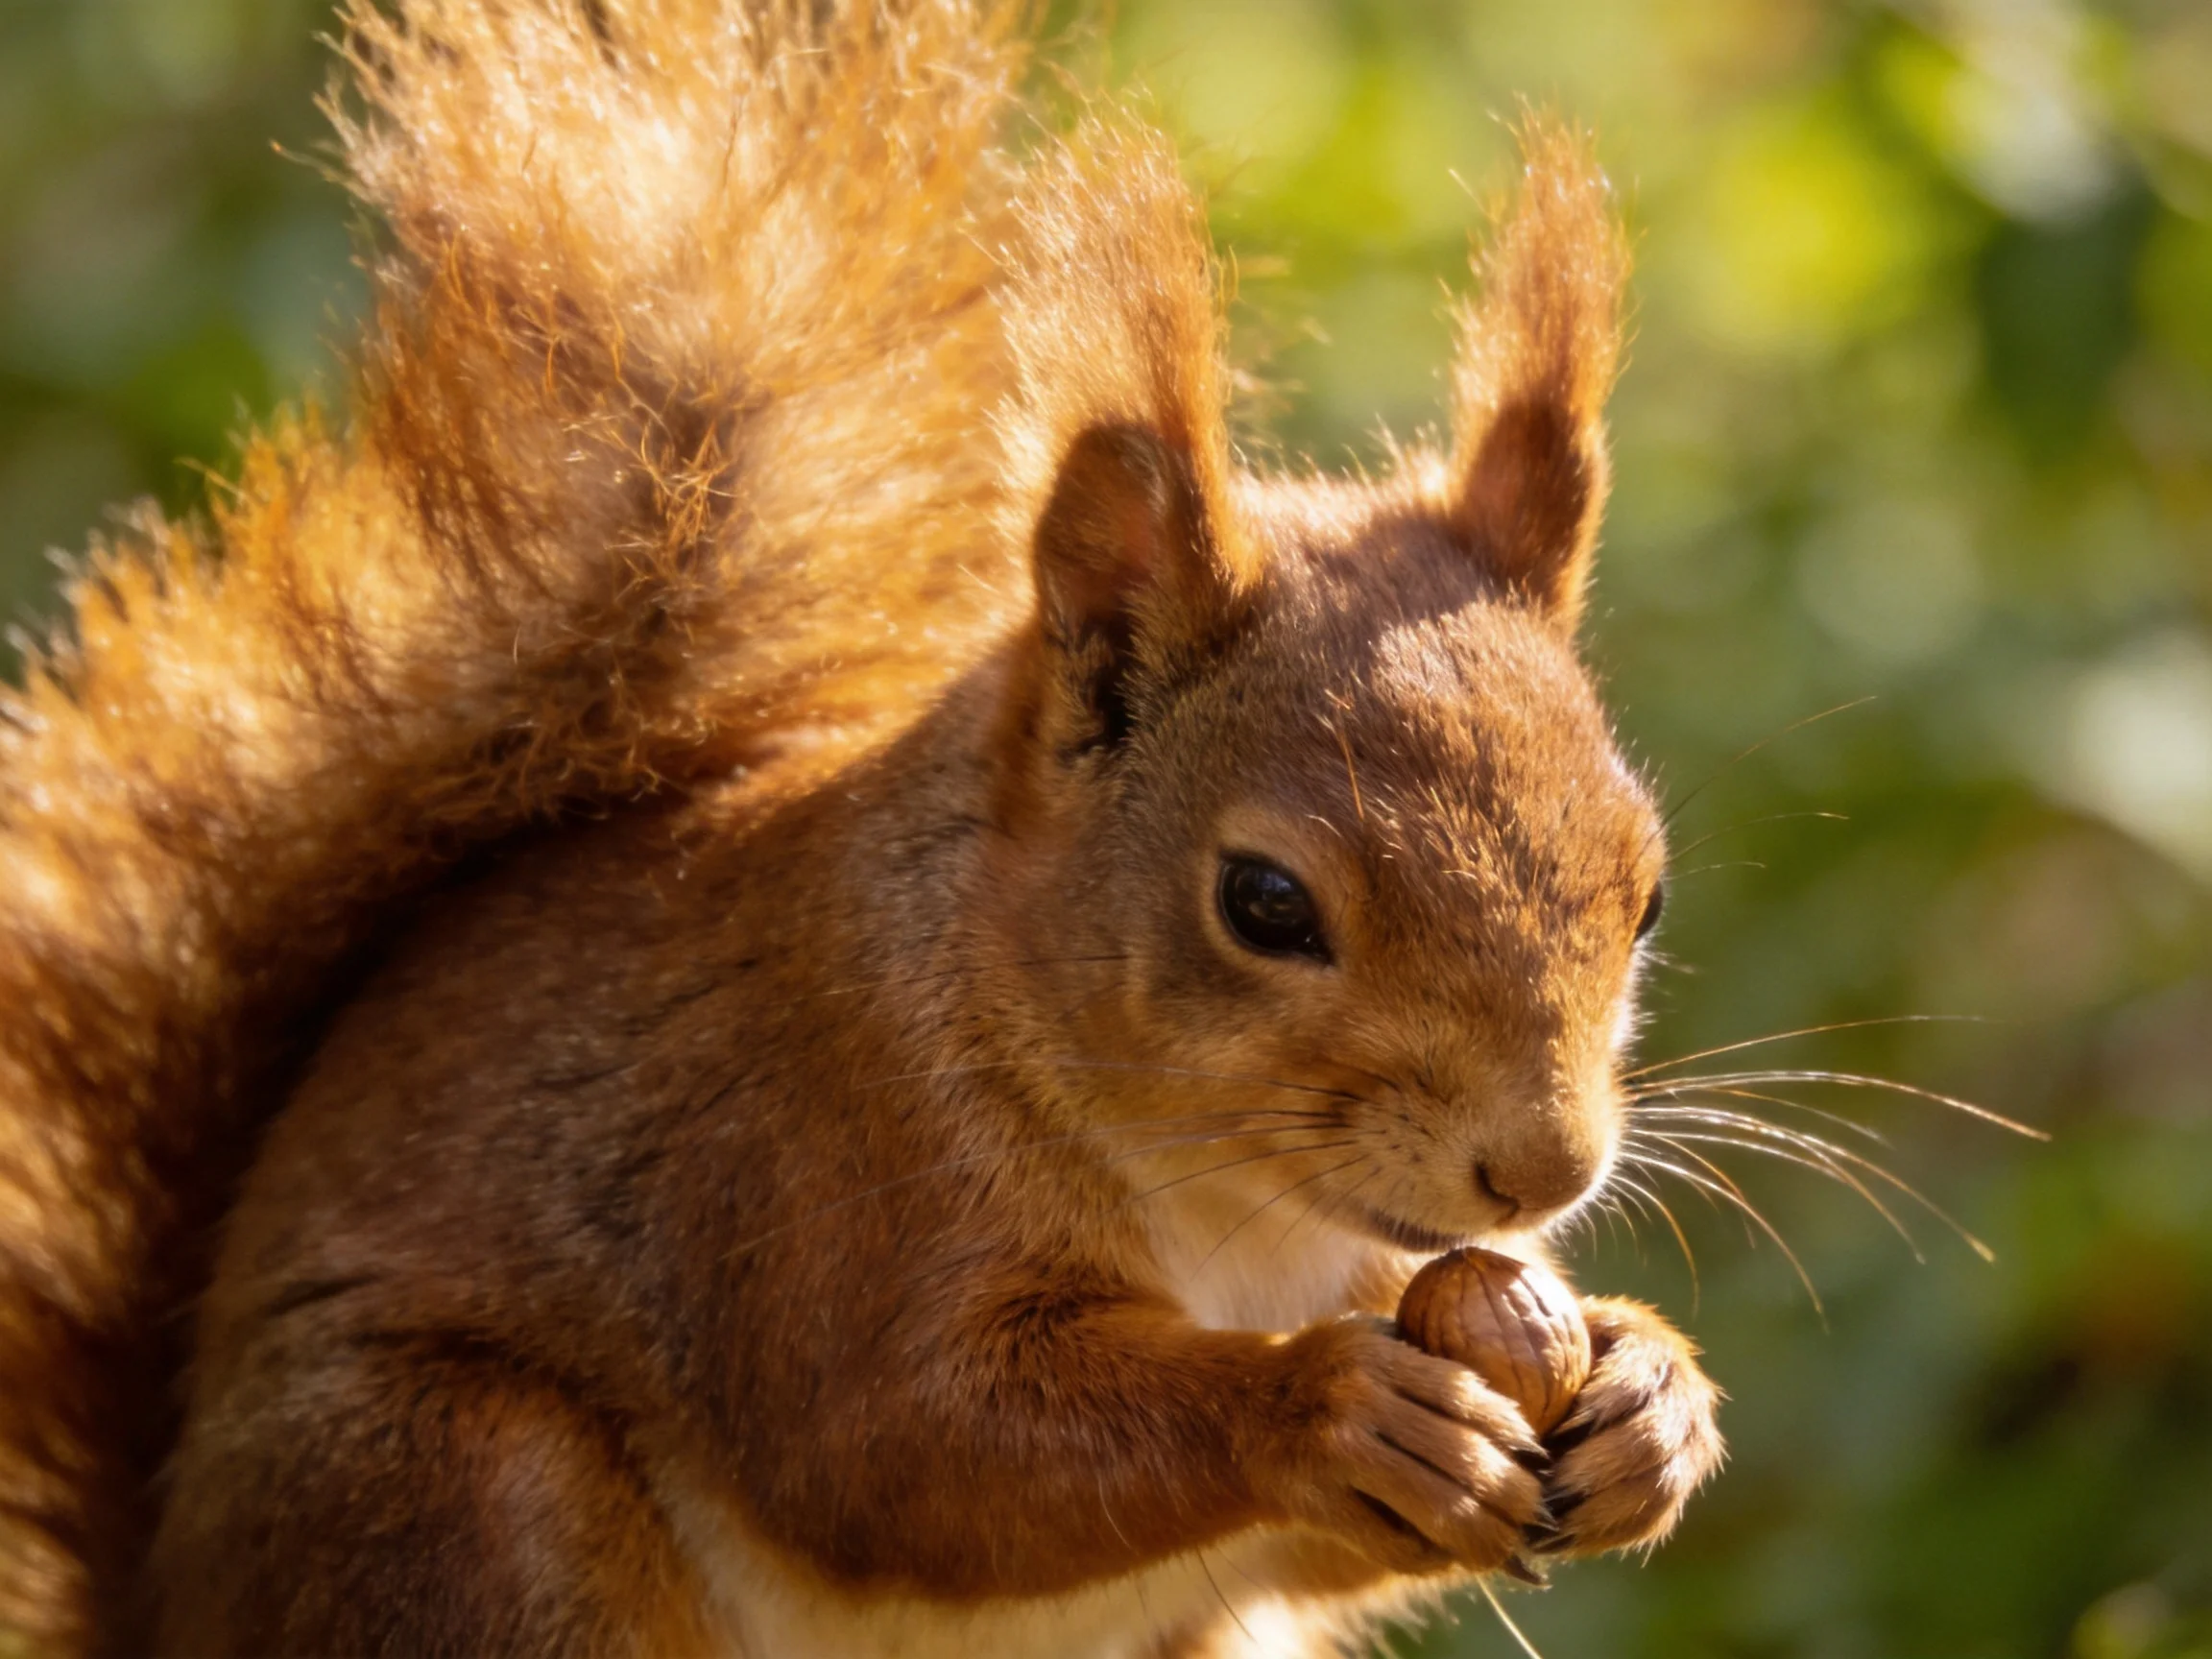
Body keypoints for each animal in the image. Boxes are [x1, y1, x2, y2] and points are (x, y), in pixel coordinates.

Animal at [0, 2, 1725, 1654]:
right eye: (1264, 903)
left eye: (1645, 896)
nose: (1543, 1166)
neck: (1238, 1212)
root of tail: (171, 1595)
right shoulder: (814, 1156)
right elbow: (901, 1443)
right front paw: (1328, 1408)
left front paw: (1651, 1392)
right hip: (462, 1496)